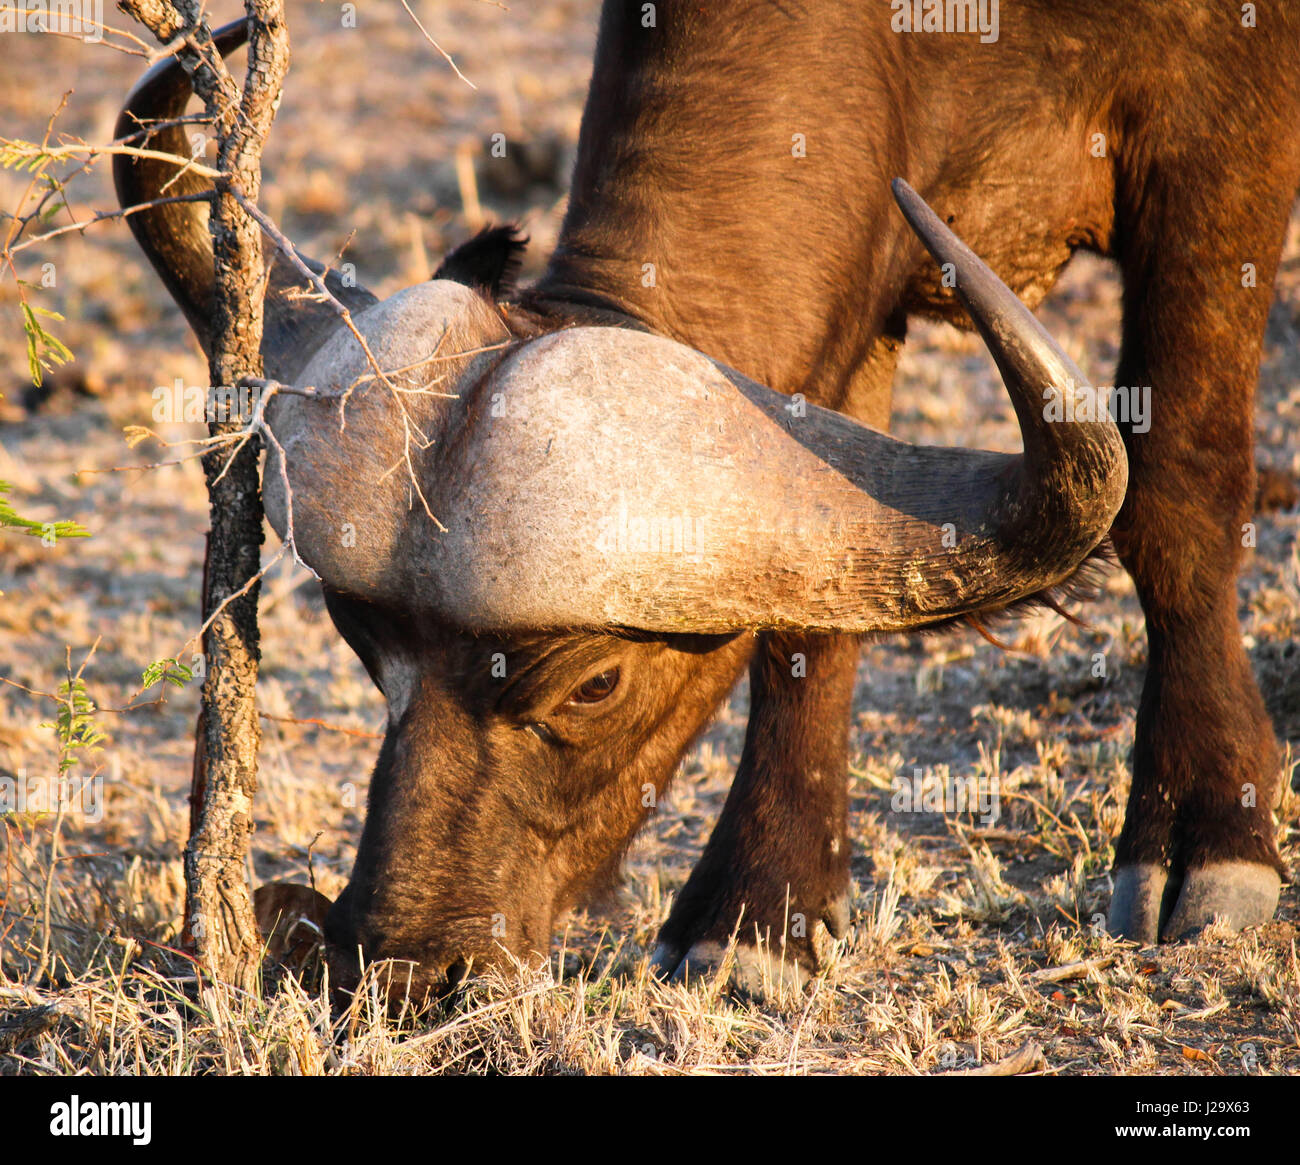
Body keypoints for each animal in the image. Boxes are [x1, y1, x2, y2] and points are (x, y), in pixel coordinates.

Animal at [116, 2, 1294, 998]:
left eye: (594, 685)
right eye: (362, 647)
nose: (403, 966)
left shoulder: (1219, 142)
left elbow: (1176, 487)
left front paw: (1210, 831)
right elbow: (810, 623)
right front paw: (762, 909)